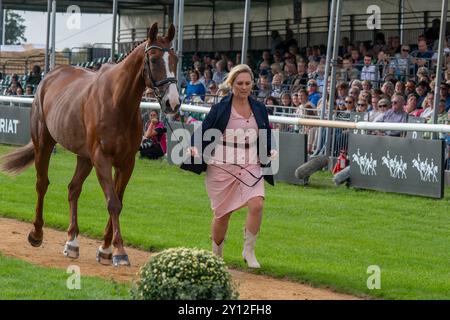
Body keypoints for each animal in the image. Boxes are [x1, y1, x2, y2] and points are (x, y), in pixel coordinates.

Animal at [0, 23, 179, 268]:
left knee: (73, 188)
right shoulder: (102, 158)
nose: (173, 103)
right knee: (42, 184)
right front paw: (119, 250)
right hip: (44, 143)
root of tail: (49, 77)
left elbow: (119, 201)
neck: (117, 102)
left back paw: (72, 242)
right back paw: (37, 233)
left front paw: (105, 249)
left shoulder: (126, 162)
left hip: (84, 156)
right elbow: (113, 202)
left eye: (176, 59)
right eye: (153, 60)